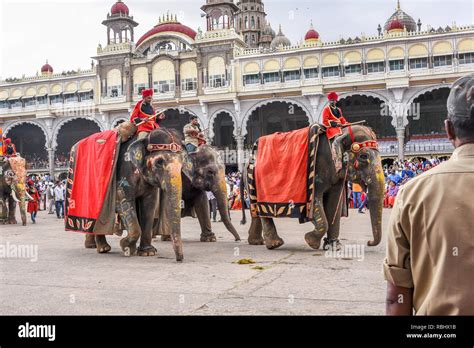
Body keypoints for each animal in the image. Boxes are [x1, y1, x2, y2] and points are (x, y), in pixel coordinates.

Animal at [241, 125, 386, 250]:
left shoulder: (336, 175)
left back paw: (257, 242)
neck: (339, 131)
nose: (369, 242)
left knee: (256, 212)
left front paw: (334, 247)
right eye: (364, 156)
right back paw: (275, 244)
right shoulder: (317, 170)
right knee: (262, 212)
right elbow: (317, 199)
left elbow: (334, 204)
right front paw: (311, 241)